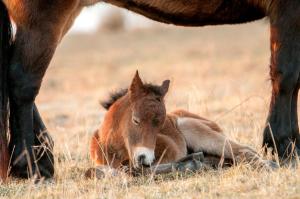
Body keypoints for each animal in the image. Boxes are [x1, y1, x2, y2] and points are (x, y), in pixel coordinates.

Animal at [89, 71, 276, 174]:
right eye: (135, 120)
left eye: (160, 126)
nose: (144, 158)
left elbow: (141, 170)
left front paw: (192, 163)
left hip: (195, 130)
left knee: (244, 151)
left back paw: (269, 165)